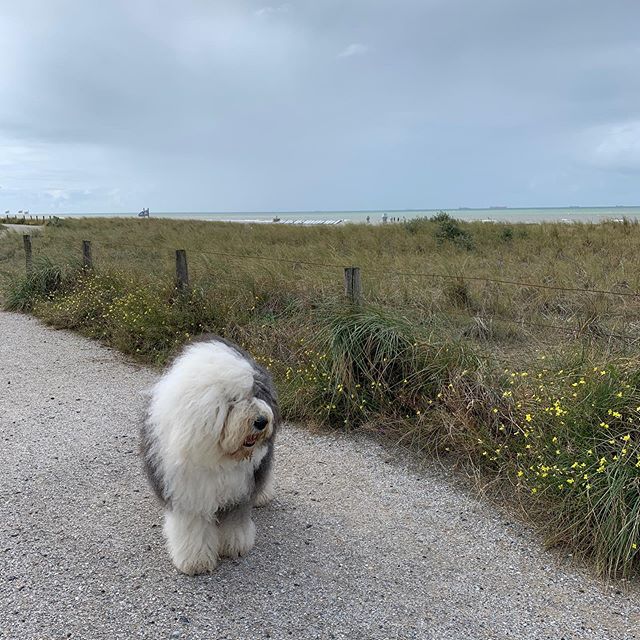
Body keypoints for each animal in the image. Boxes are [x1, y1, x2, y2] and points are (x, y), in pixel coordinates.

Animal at [141, 336, 278, 576]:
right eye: (233, 400)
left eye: (256, 393)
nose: (261, 421)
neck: (220, 456)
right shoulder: (189, 495)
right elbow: (193, 528)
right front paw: (196, 561)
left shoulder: (240, 489)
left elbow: (234, 522)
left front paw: (235, 546)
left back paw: (263, 495)